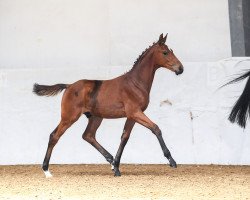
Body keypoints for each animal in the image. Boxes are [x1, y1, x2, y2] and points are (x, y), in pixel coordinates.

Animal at [33, 33, 184, 177]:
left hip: (95, 117)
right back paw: (46, 170)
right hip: (69, 117)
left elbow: (124, 137)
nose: (180, 68)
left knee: (88, 135)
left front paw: (116, 166)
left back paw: (111, 161)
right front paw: (171, 160)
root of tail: (69, 86)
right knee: (55, 136)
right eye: (165, 52)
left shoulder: (132, 116)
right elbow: (156, 128)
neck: (135, 83)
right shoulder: (135, 112)